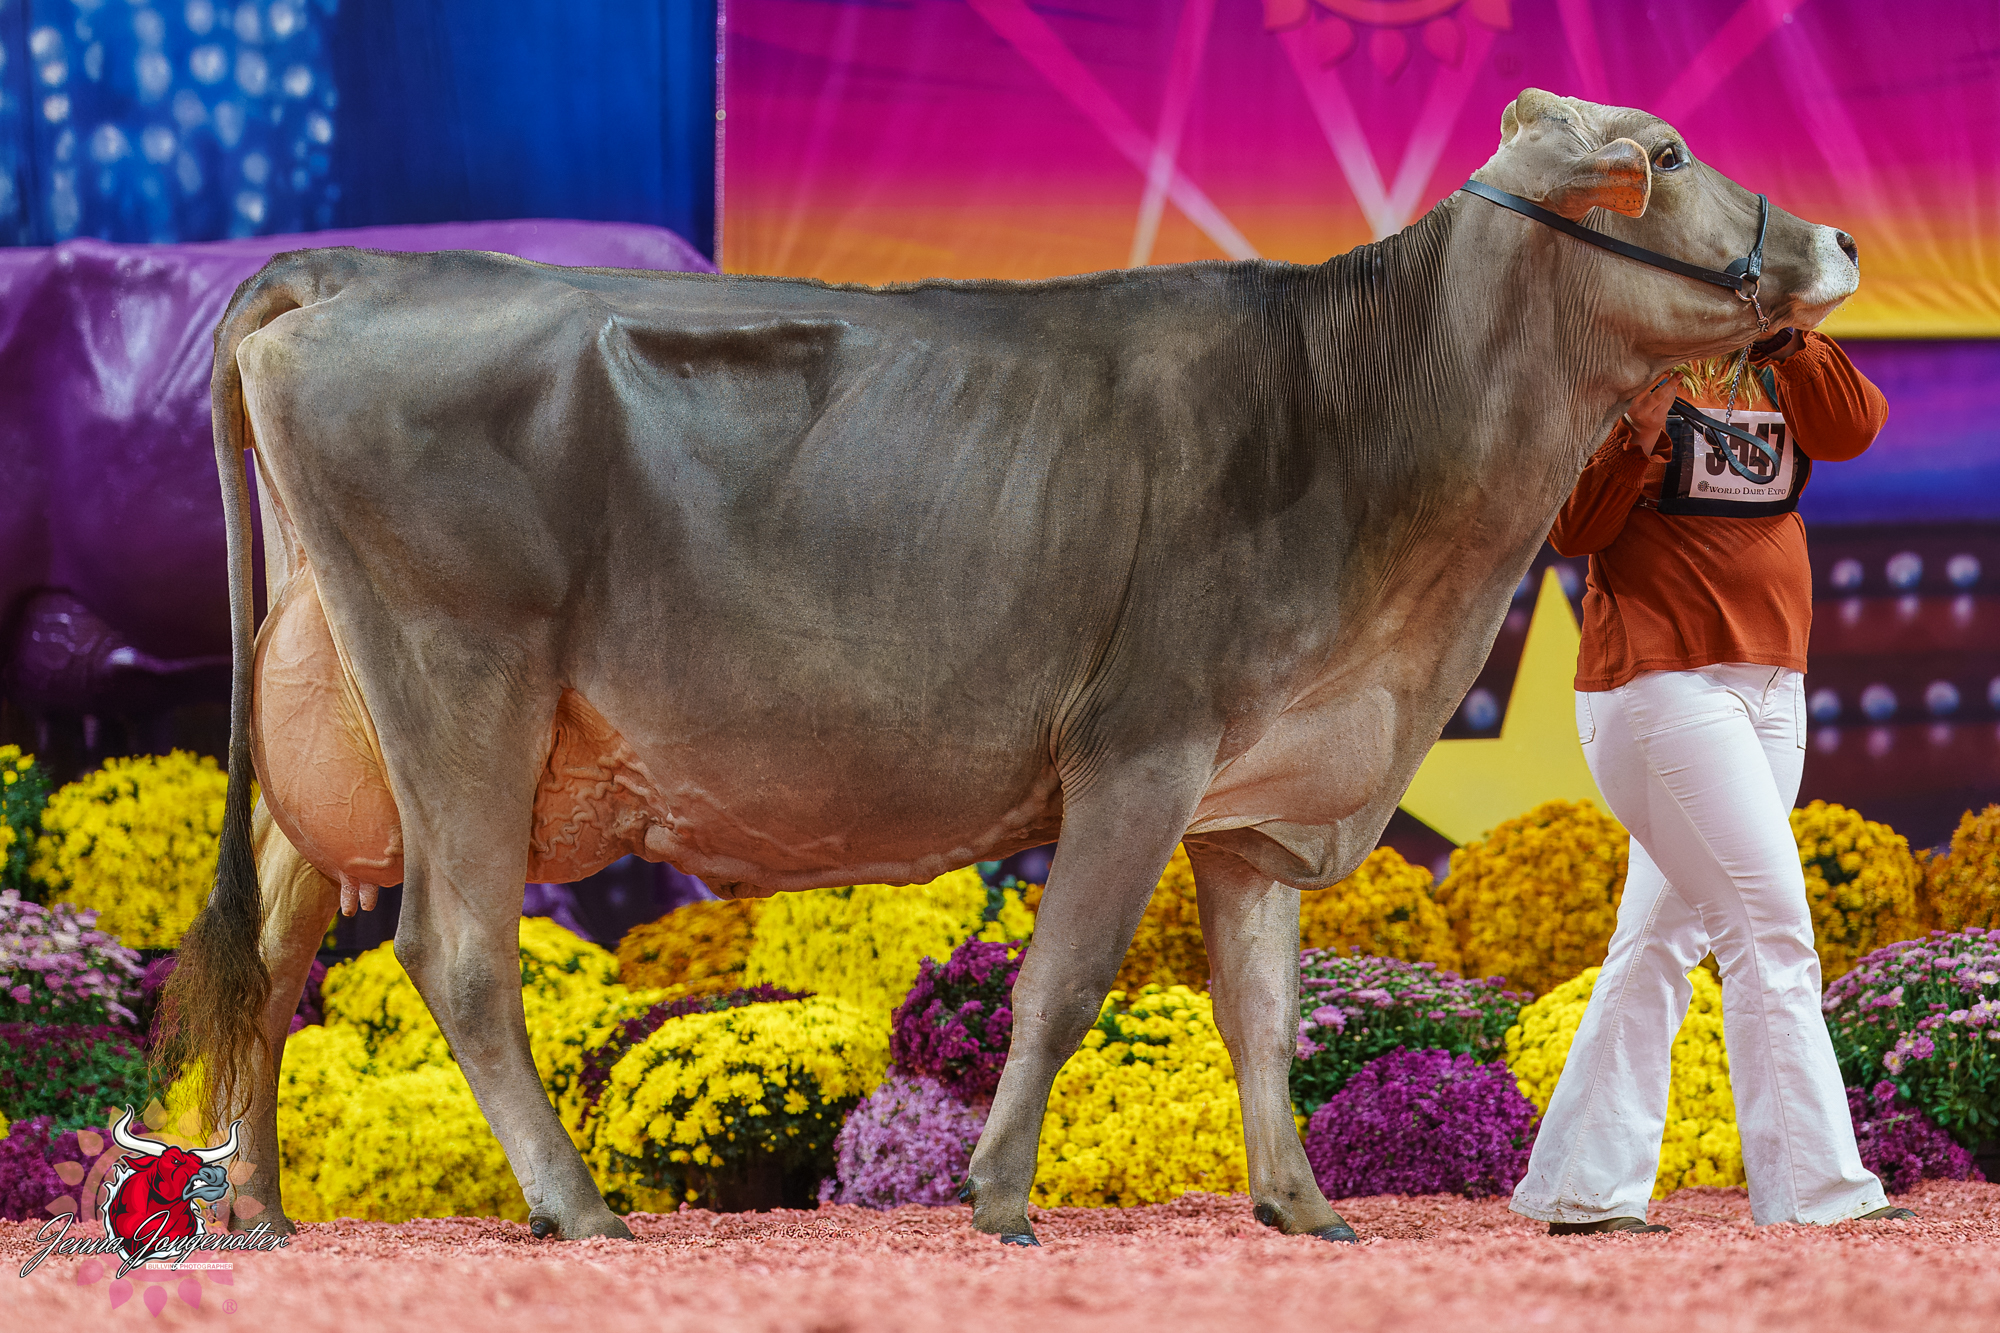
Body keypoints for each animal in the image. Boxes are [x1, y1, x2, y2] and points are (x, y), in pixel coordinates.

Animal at [159, 89, 1861, 1245]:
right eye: (1670, 155)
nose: (1839, 235)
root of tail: (351, 268)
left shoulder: (1261, 801)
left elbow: (1260, 1006)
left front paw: (1303, 1203)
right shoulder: (1140, 748)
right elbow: (1067, 978)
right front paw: (995, 1195)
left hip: (342, 715)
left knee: (278, 943)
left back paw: (252, 1209)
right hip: (466, 680)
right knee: (451, 949)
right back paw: (575, 1206)